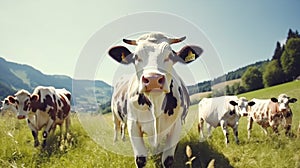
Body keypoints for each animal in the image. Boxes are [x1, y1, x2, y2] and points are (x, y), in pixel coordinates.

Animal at [109, 32, 203, 167]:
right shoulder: (133, 124)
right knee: (117, 126)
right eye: (136, 57)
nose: (153, 79)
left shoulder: (176, 125)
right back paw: (117, 141)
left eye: (170, 56)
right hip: (114, 113)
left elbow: (168, 159)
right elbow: (140, 159)